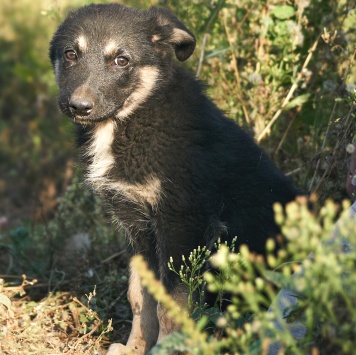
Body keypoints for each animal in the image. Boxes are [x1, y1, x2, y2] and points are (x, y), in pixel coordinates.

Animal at [50, 4, 298, 354]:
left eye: (122, 60)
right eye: (71, 54)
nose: (79, 106)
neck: (133, 117)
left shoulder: (181, 223)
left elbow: (172, 302)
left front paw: (167, 346)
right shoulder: (137, 227)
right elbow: (140, 296)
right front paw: (135, 348)